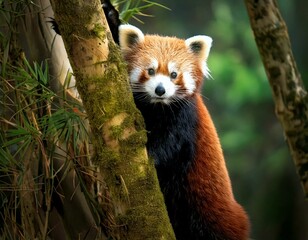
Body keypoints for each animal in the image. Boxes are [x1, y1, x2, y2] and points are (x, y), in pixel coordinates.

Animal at [119, 24, 249, 240]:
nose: (160, 90)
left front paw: (151, 155)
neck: (158, 107)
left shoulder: (185, 120)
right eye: (151, 71)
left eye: (173, 74)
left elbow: (169, 146)